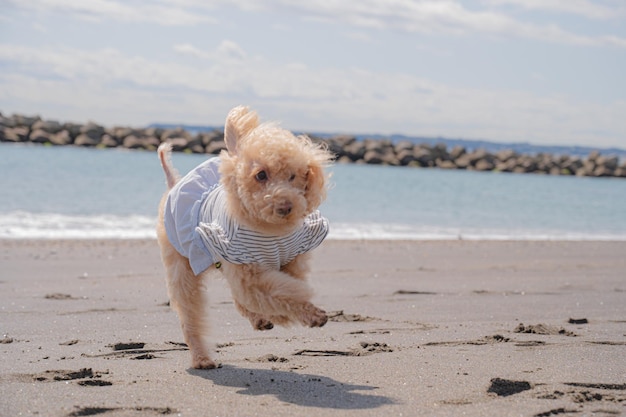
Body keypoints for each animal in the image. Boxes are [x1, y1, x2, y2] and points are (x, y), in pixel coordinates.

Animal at [156, 105, 332, 368]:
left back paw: (260, 320)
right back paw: (202, 358)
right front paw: (310, 315)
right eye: (260, 175)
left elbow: (286, 291)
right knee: (190, 314)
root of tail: (173, 186)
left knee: (238, 299)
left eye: (293, 176)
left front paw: (290, 316)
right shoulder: (249, 270)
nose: (286, 206)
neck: (270, 230)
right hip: (182, 264)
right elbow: (282, 293)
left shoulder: (290, 259)